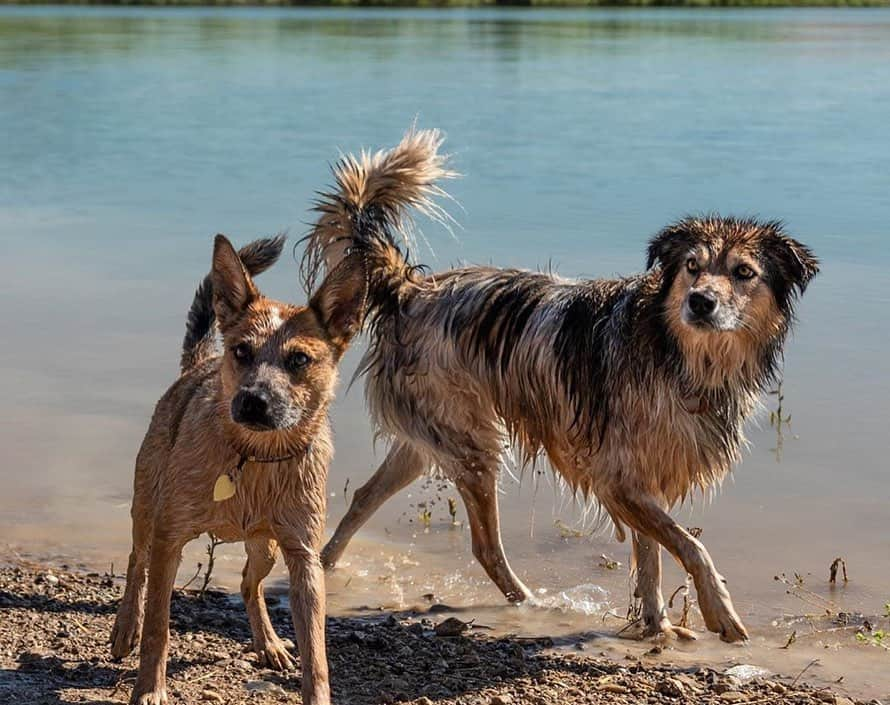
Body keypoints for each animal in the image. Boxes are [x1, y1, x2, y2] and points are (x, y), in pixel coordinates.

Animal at [112, 232, 368, 704]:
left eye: (299, 360)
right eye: (241, 351)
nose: (253, 401)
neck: (255, 459)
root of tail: (199, 364)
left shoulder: (304, 558)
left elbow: (316, 652)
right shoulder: (169, 539)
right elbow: (158, 627)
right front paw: (149, 689)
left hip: (267, 547)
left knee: (250, 582)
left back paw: (268, 642)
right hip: (146, 509)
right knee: (136, 562)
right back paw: (125, 628)